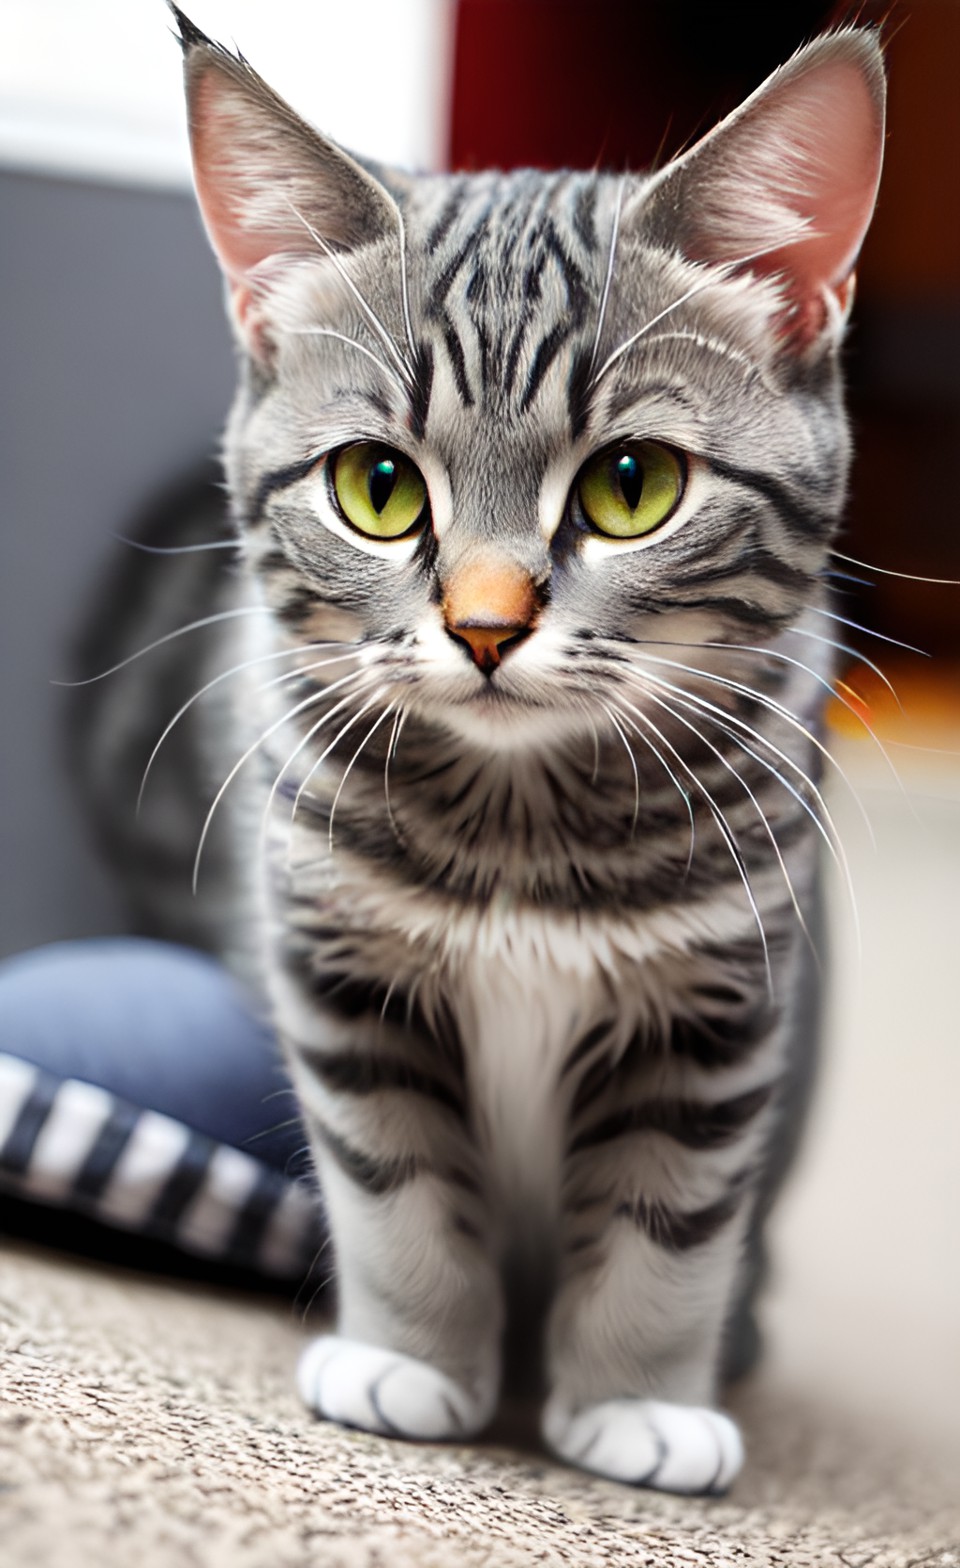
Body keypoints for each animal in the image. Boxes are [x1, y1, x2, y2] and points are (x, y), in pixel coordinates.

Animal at [170, 6, 884, 1486]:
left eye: (633, 486)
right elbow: (396, 1186)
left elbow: (670, 1222)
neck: (520, 815)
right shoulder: (342, 972)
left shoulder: (720, 1004)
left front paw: (642, 1401)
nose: (487, 625)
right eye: (378, 487)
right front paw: (408, 1363)